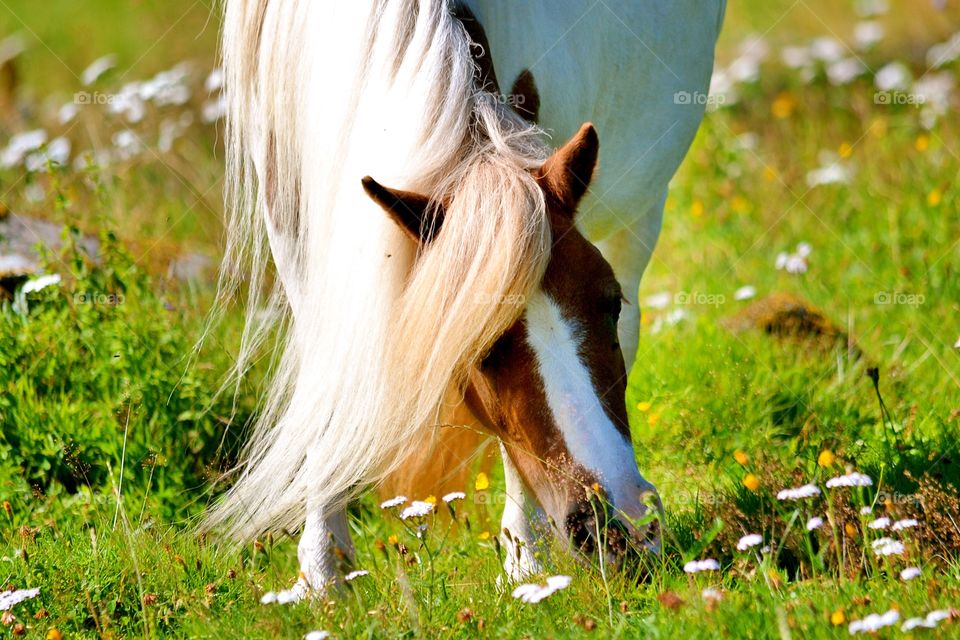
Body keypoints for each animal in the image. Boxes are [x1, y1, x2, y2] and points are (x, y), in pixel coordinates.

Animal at [207, 0, 725, 600]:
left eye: (609, 303)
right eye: (477, 350)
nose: (620, 525)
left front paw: (526, 564)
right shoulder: (290, 211)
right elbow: (326, 378)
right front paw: (324, 575)